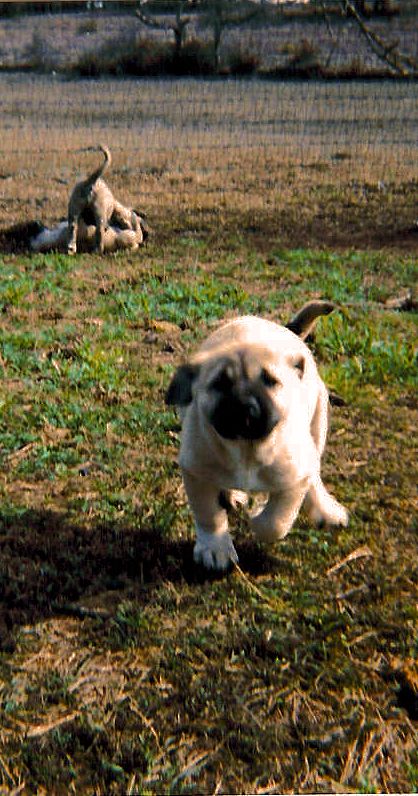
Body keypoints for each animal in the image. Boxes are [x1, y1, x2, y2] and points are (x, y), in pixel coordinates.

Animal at [165, 300, 348, 572]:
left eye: (270, 381)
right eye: (220, 383)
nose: (244, 407)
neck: (247, 448)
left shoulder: (294, 477)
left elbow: (277, 520)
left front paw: (259, 521)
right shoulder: (196, 470)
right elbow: (208, 514)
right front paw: (215, 548)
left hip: (318, 421)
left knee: (314, 473)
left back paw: (325, 510)